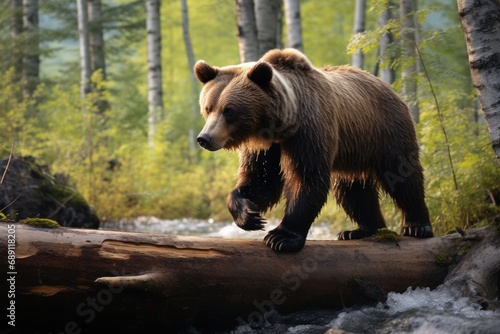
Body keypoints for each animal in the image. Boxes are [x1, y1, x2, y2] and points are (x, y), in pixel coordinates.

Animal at [195, 48, 434, 252]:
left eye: (229, 110)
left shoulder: (309, 131)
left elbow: (307, 178)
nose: (204, 138)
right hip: (354, 153)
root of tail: (390, 87)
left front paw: (281, 237)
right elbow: (261, 180)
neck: (280, 125)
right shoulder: (267, 148)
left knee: (403, 175)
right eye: (208, 108)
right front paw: (249, 215)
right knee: (352, 191)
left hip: (386, 131)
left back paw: (417, 225)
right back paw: (362, 230)